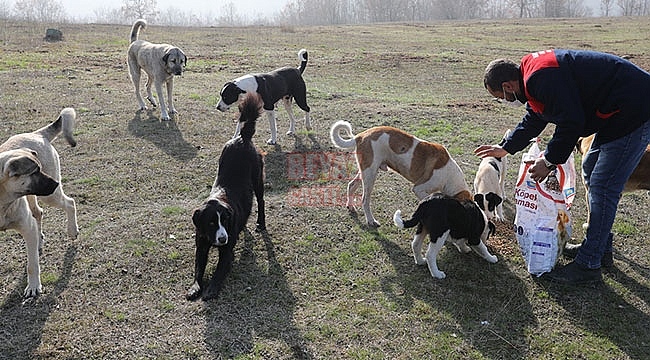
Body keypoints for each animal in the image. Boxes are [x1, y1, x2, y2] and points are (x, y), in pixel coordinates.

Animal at [0, 107, 79, 298]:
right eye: (34, 172)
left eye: (39, 169)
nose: (55, 183)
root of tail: (37, 133)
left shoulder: (26, 227)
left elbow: (32, 265)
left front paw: (34, 286)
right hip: (34, 197)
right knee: (38, 213)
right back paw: (40, 240)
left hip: (49, 196)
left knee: (70, 203)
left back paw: (72, 231)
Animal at [186, 93, 268, 300]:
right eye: (211, 223)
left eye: (224, 220)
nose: (222, 239)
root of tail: (243, 137)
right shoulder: (201, 244)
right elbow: (198, 268)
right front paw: (195, 287)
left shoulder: (227, 251)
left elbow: (219, 270)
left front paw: (211, 289)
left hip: (257, 179)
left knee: (261, 201)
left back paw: (260, 223)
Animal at [330, 122, 470, 226]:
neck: (450, 177)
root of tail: (360, 136)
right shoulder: (419, 189)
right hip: (370, 175)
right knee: (365, 200)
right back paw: (371, 220)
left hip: (365, 172)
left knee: (351, 185)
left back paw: (350, 206)